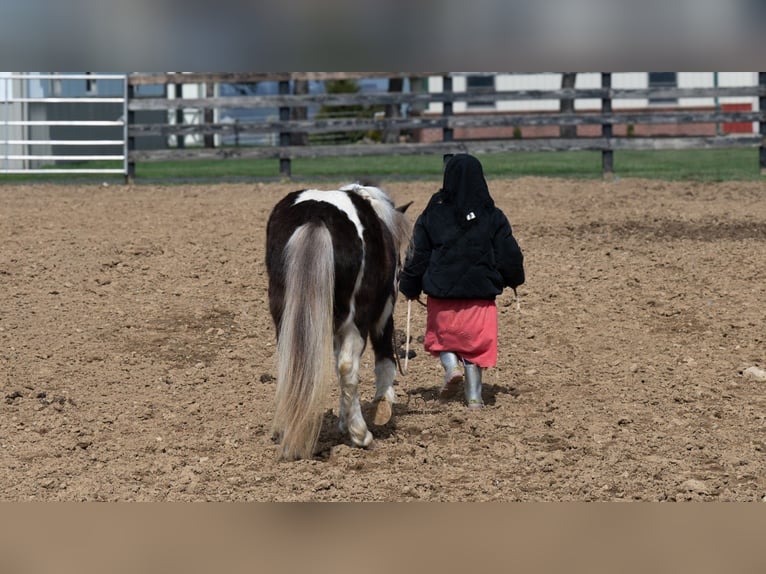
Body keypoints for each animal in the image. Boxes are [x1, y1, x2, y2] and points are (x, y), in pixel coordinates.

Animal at [265, 183, 412, 460]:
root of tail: (316, 216)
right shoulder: (383, 314)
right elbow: (384, 359)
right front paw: (382, 406)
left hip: (286, 316)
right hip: (358, 320)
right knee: (348, 368)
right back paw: (361, 434)